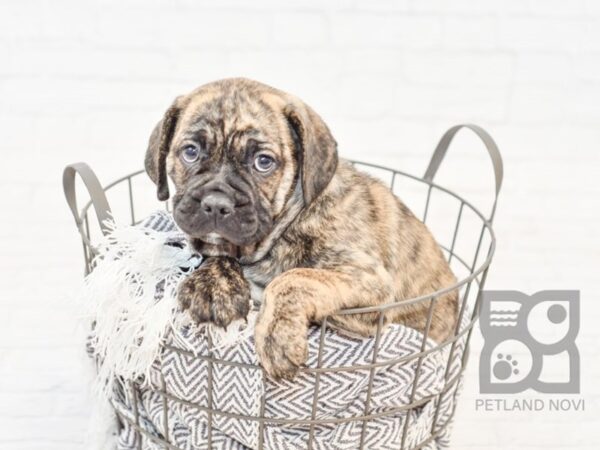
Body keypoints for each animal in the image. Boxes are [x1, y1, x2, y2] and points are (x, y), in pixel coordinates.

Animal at [144, 77, 454, 380]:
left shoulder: (368, 281)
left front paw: (276, 336)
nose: (216, 204)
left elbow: (293, 278)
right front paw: (212, 286)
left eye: (263, 162)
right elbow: (220, 254)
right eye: (191, 152)